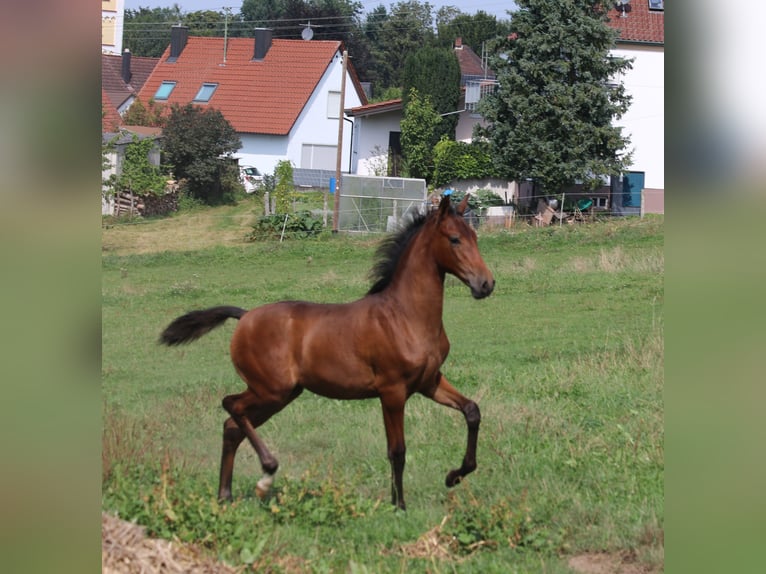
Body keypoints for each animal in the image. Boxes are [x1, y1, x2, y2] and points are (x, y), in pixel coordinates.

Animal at [162, 196, 498, 510]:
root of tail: (244, 317)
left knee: (232, 426)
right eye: (454, 239)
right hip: (271, 390)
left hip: (280, 395)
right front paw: (399, 505)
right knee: (230, 405)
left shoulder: (429, 382)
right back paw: (266, 474)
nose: (486, 284)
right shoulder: (392, 391)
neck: (405, 316)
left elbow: (472, 411)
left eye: (474, 236)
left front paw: (453, 476)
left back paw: (225, 495)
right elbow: (397, 450)